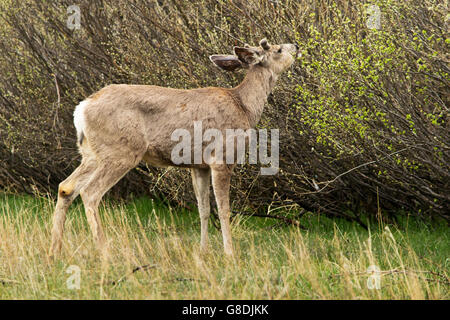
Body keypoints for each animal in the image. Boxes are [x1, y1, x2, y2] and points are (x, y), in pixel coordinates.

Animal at [50, 38, 298, 258]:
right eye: (277, 49)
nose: (295, 45)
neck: (244, 107)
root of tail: (81, 109)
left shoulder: (199, 165)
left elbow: (203, 209)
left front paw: (203, 250)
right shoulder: (222, 158)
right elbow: (223, 209)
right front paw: (229, 253)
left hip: (91, 154)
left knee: (66, 187)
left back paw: (55, 252)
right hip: (121, 152)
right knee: (90, 193)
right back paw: (104, 252)